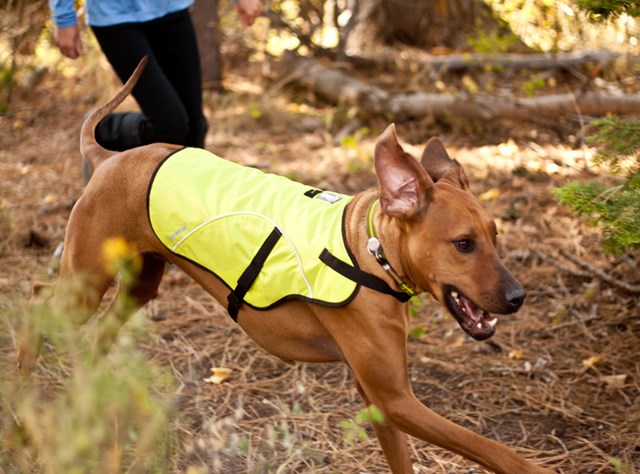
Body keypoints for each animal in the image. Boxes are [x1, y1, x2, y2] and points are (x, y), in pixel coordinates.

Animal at [17, 59, 552, 474]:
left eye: (495, 237)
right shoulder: (395, 399)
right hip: (87, 281)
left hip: (140, 284)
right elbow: (494, 450)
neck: (370, 254)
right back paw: (25, 394)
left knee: (94, 334)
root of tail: (108, 157)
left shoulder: (381, 401)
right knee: (38, 302)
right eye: (463, 244)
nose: (518, 297)